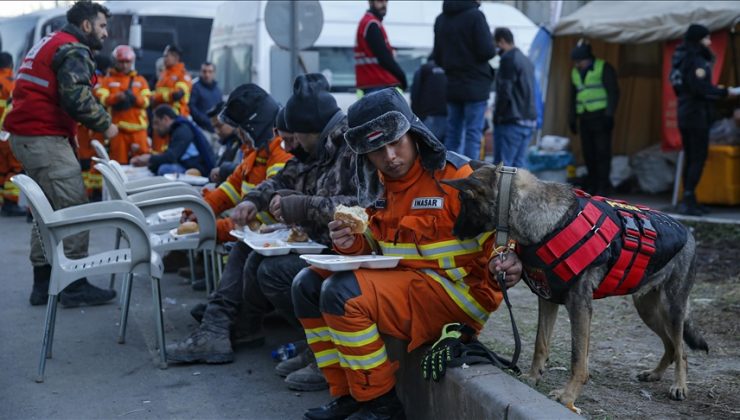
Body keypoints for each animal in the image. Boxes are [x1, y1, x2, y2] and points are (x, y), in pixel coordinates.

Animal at [442, 165, 708, 414]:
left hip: (672, 309)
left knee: (681, 350)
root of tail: (689, 233)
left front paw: (568, 396)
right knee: (670, 346)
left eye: (463, 201)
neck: (547, 221)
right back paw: (654, 373)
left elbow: (577, 358)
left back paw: (679, 386)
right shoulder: (547, 299)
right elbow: (541, 344)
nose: (453, 232)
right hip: (647, 309)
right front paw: (533, 377)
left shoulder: (579, 306)